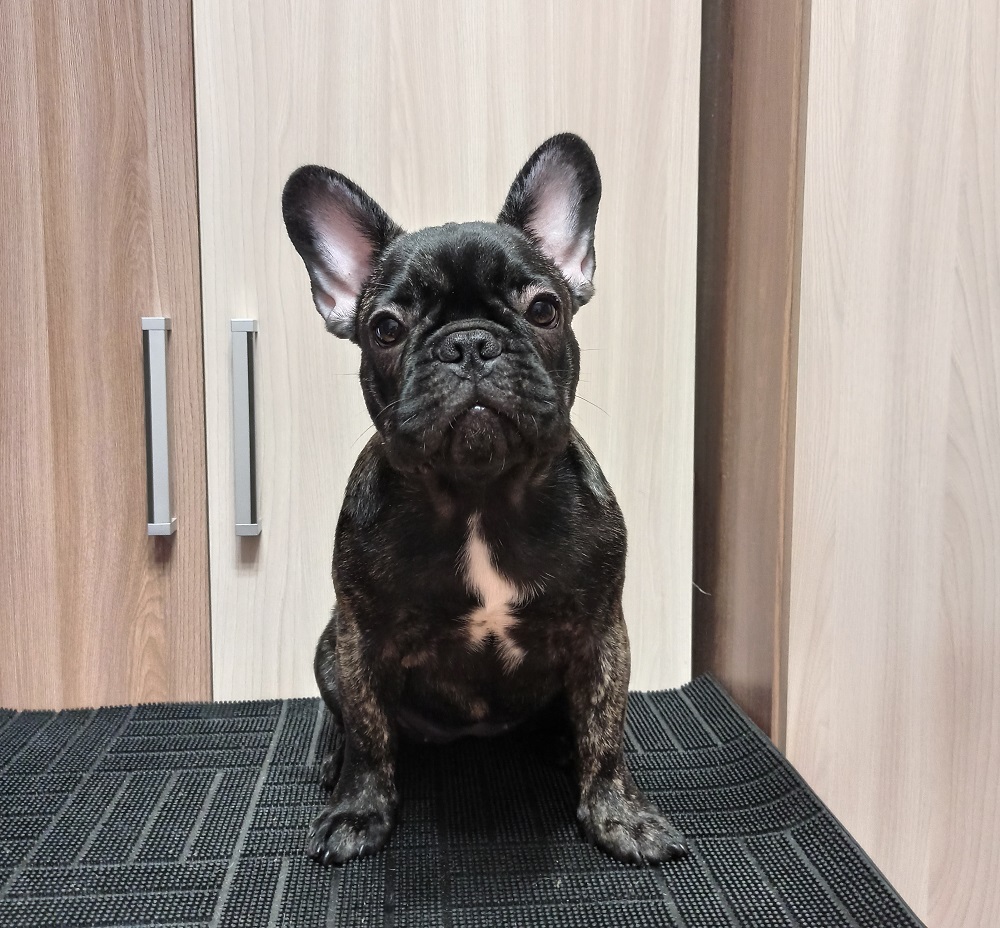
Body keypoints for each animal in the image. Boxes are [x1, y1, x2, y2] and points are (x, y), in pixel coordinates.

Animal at [282, 134, 687, 867]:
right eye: (385, 329)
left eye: (543, 308)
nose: (469, 342)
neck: (480, 494)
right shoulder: (361, 639)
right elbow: (369, 734)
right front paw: (358, 809)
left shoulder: (601, 632)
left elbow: (607, 732)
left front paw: (620, 815)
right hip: (329, 647)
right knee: (349, 721)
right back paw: (331, 764)